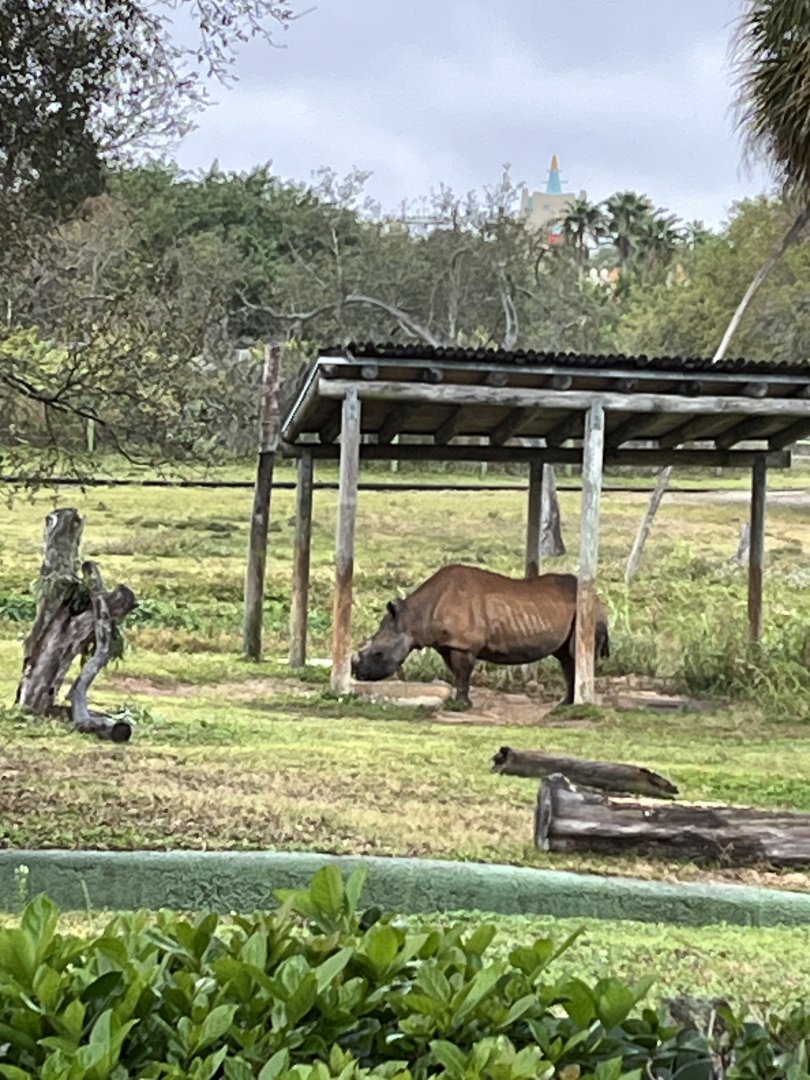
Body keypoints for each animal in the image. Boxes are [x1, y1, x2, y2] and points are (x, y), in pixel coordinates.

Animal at [351, 563, 609, 706]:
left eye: (378, 653)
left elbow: (463, 674)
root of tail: (598, 600)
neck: (413, 617)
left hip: (586, 613)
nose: (357, 674)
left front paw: (461, 705)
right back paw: (564, 705)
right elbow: (457, 674)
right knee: (566, 658)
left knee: (575, 656)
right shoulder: (448, 644)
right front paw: (460, 701)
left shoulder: (463, 645)